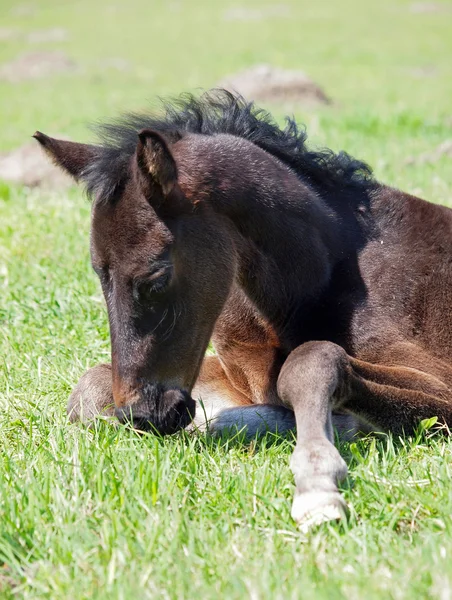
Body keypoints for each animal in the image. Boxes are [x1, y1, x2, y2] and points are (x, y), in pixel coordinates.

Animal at [33, 91, 452, 528]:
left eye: (157, 277)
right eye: (99, 273)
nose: (144, 414)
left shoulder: (443, 386)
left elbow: (311, 361)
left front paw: (317, 483)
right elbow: (90, 385)